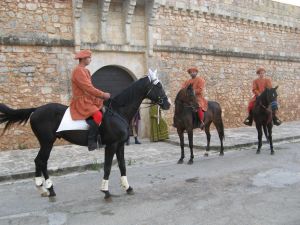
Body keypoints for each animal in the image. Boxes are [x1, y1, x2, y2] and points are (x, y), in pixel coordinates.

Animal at [0, 74, 170, 200]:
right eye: (158, 86)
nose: (167, 104)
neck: (117, 112)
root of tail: (36, 110)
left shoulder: (120, 144)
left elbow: (122, 165)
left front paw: (127, 187)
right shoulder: (112, 145)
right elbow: (108, 166)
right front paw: (106, 191)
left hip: (46, 143)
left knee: (40, 162)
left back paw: (46, 190)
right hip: (47, 142)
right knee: (41, 161)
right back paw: (47, 188)